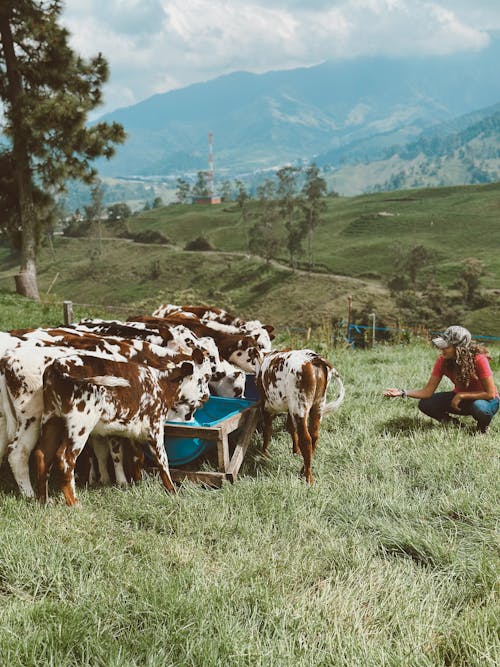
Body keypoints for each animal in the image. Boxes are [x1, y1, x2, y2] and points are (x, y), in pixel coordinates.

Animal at [33, 350, 209, 506]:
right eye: (203, 379)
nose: (207, 396)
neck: (162, 382)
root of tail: (58, 364)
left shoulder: (132, 430)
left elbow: (136, 457)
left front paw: (136, 483)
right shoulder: (155, 428)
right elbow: (163, 462)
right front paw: (173, 492)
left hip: (51, 419)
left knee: (42, 454)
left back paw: (44, 500)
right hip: (80, 425)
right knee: (65, 459)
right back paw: (74, 503)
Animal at [254, 350, 344, 486]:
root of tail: (313, 358)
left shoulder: (266, 405)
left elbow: (267, 430)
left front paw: (264, 454)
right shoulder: (289, 409)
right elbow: (290, 427)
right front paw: (295, 451)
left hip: (300, 406)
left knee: (306, 439)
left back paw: (308, 478)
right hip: (317, 405)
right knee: (314, 436)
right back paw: (304, 469)